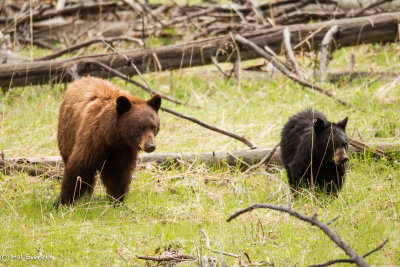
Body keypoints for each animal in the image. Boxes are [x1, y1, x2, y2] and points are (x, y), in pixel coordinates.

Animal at [54, 76, 161, 206]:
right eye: (139, 128)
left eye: (154, 127)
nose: (150, 146)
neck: (115, 138)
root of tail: (81, 79)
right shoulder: (92, 139)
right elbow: (80, 166)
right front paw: (63, 201)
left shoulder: (124, 149)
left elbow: (119, 173)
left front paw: (117, 200)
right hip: (67, 133)